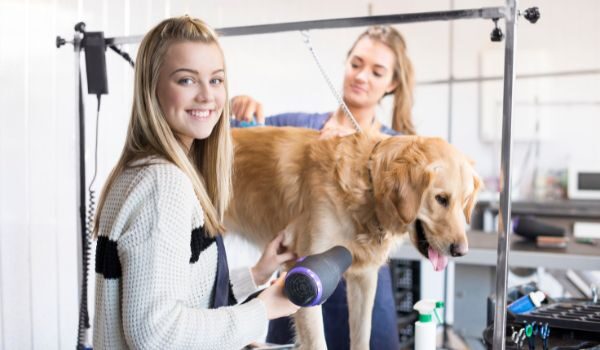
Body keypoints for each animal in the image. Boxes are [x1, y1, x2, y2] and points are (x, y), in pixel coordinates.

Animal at [225, 126, 482, 350]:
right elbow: (317, 342)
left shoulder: (364, 278)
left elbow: (361, 336)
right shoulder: (309, 273)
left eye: (465, 201)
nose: (461, 251)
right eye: (441, 199)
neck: (368, 187)